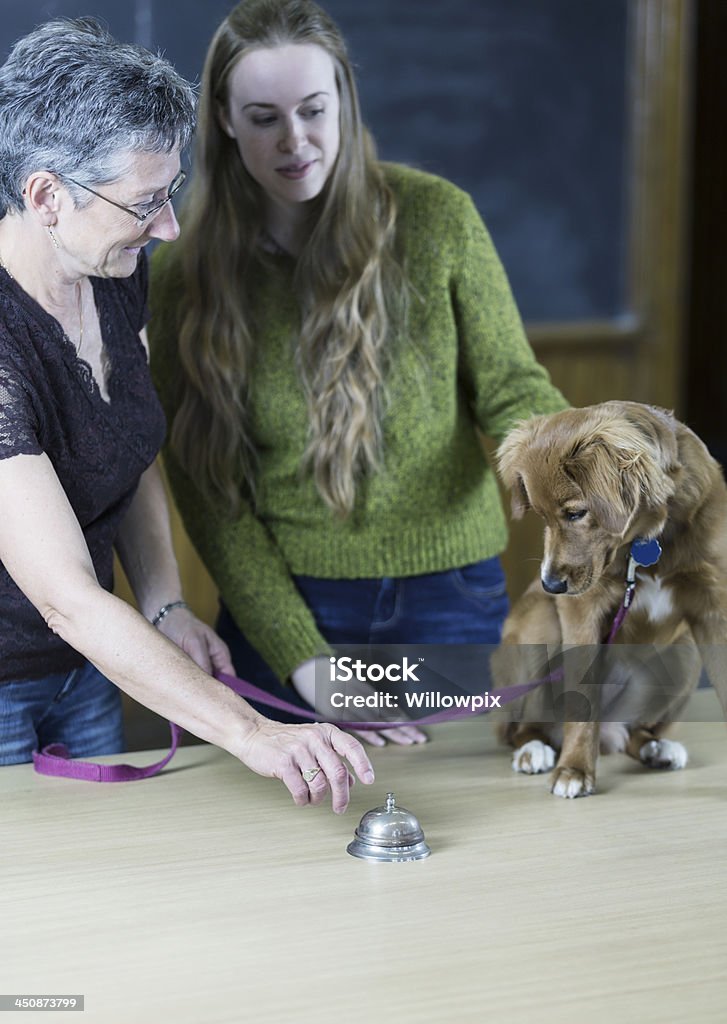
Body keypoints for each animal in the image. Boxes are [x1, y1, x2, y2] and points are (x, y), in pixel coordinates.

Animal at [493, 401, 727, 798]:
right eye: (540, 516)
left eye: (575, 513)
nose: (549, 584)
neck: (649, 539)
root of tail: (609, 735)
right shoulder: (581, 609)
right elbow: (581, 698)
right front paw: (574, 769)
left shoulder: (715, 607)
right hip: (536, 629)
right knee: (520, 729)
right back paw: (534, 750)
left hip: (685, 656)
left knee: (636, 735)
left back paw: (656, 749)